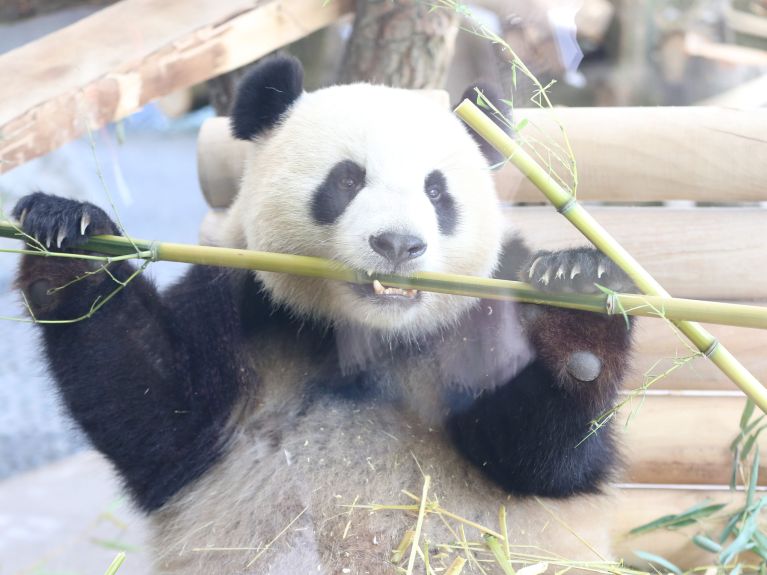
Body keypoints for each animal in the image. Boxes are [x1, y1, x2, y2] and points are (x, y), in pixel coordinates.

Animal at [13, 55, 636, 575]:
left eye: (437, 192)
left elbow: (544, 459)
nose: (398, 244)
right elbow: (158, 418)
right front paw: (70, 240)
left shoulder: (483, 308)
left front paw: (578, 293)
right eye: (347, 179)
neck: (367, 332)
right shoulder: (239, 303)